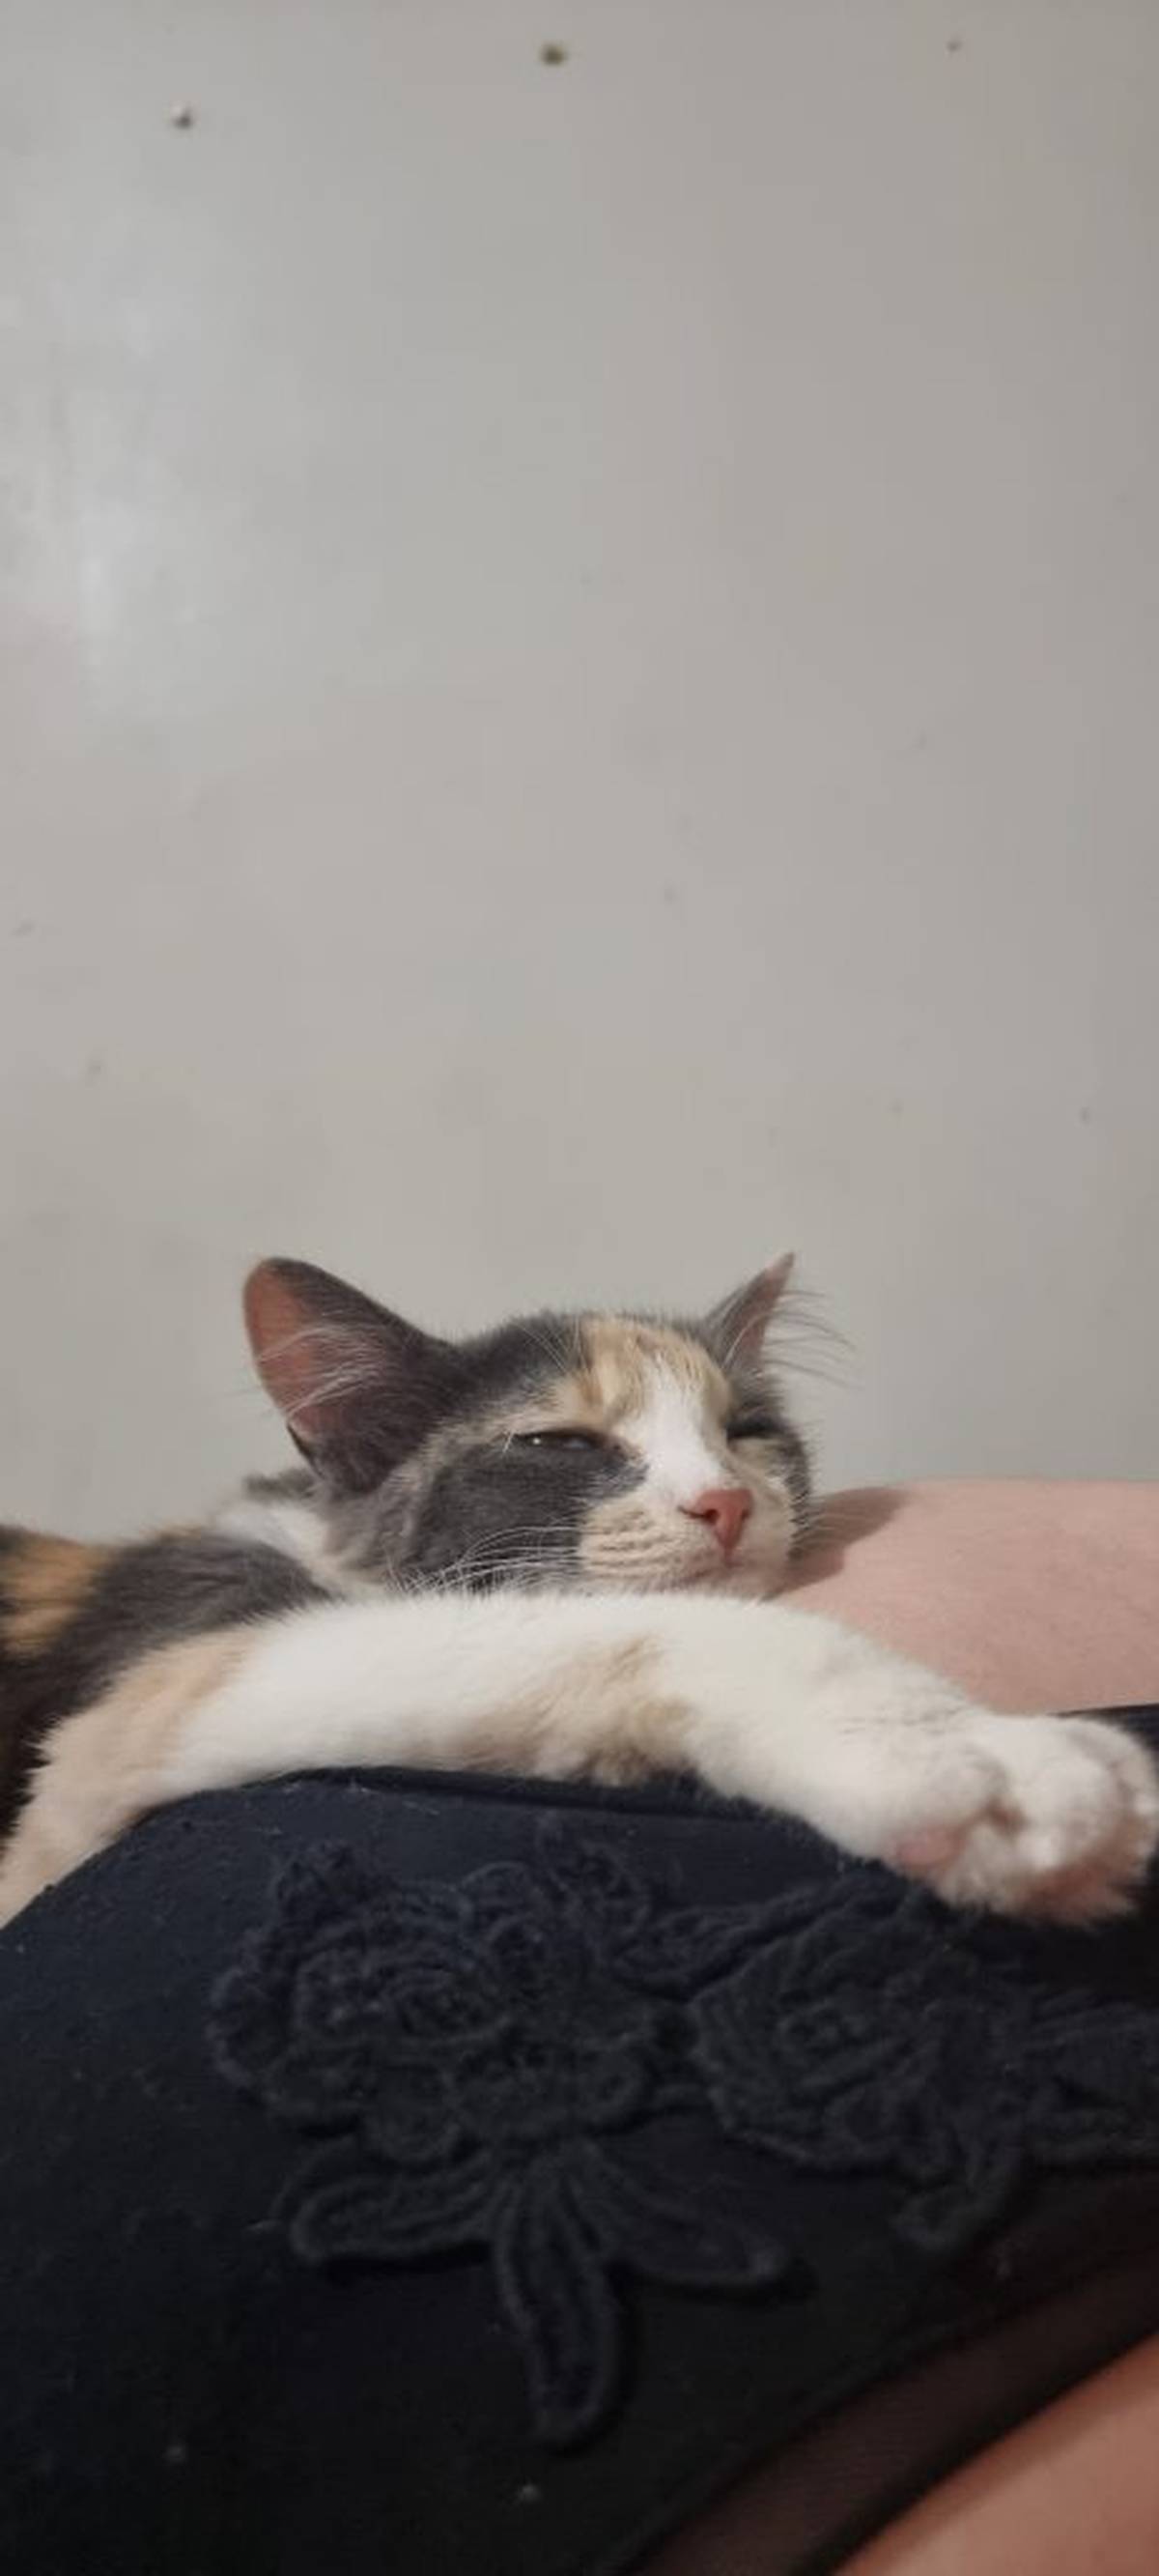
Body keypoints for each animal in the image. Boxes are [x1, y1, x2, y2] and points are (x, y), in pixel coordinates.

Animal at [0, 1254, 1156, 1928]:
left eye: (749, 1430)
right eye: (560, 1442)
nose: (725, 1501)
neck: (333, 1557)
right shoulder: (136, 1704)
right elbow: (611, 1630)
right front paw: (977, 1757)